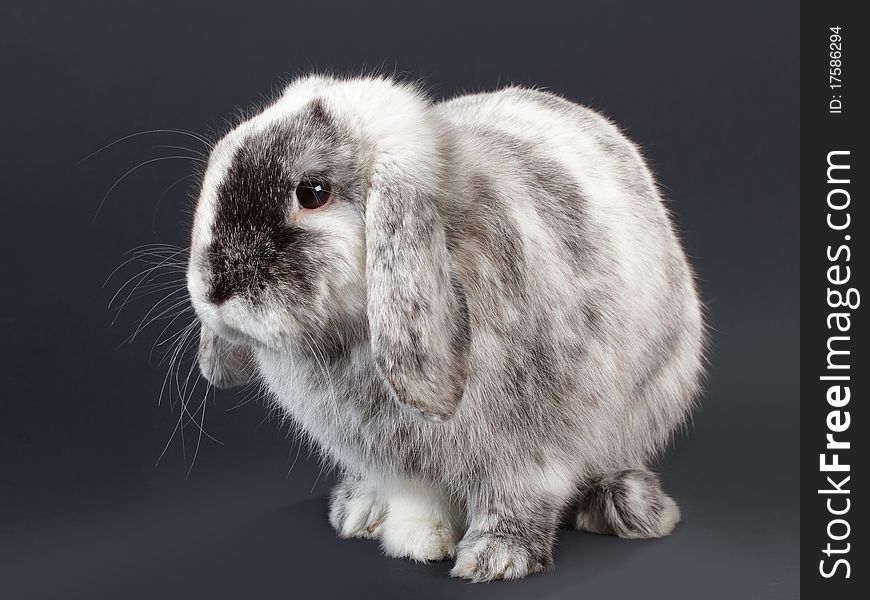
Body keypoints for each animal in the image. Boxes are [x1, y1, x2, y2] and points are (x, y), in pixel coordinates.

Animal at [187, 74, 704, 580]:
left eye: (312, 193)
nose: (215, 290)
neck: (352, 340)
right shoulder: (398, 459)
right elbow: (418, 497)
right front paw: (418, 542)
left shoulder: (530, 448)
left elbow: (518, 495)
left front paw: (495, 558)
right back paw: (359, 508)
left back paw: (629, 505)